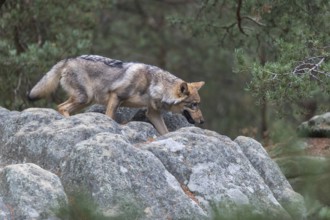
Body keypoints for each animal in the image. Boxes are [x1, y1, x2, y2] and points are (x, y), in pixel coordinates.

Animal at [28, 54, 205, 134]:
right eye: (194, 105)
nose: (202, 121)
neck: (154, 85)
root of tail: (68, 59)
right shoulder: (116, 97)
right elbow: (109, 118)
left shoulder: (153, 113)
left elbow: (165, 132)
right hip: (84, 98)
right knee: (61, 106)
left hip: (86, 100)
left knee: (61, 106)